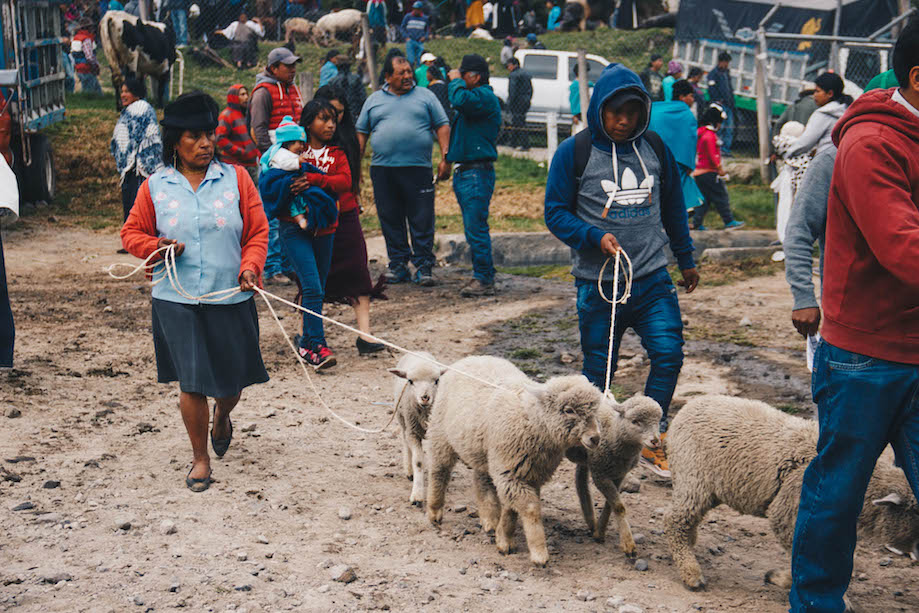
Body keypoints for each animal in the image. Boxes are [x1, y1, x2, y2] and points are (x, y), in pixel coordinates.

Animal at [386, 352, 448, 504]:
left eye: (437, 381)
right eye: (410, 381)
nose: (425, 397)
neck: (424, 414)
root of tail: (419, 352)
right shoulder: (412, 432)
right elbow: (418, 462)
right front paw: (417, 495)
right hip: (403, 420)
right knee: (405, 442)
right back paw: (409, 471)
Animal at [426, 356, 604, 568]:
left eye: (595, 411)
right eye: (568, 410)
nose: (595, 438)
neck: (531, 421)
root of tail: (471, 358)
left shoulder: (528, 474)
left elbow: (512, 509)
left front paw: (504, 539)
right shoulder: (510, 472)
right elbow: (530, 508)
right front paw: (539, 553)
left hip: (482, 450)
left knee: (481, 479)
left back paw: (489, 518)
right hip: (440, 431)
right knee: (439, 470)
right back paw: (435, 511)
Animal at [564, 392, 664, 556]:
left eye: (658, 421)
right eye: (635, 421)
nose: (655, 441)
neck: (613, 432)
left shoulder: (619, 474)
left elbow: (610, 505)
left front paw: (600, 532)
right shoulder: (600, 474)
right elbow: (619, 506)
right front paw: (628, 543)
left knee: (580, 481)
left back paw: (591, 520)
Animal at [664, 394, 919, 592]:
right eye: (915, 514)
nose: (916, 552)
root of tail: (690, 406)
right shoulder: (789, 512)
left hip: (709, 488)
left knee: (688, 520)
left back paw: (691, 544)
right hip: (693, 477)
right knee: (674, 521)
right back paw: (691, 573)